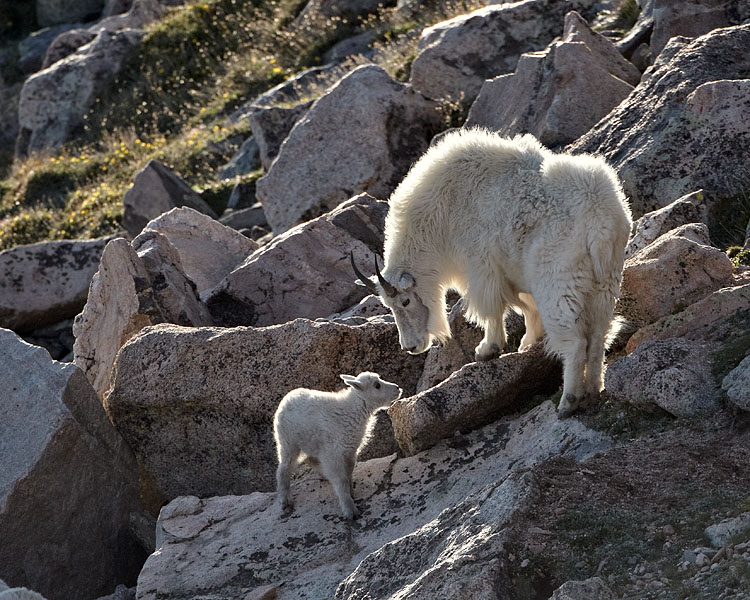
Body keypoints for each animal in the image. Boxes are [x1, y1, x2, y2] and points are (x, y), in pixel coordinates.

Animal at [354, 127, 636, 418]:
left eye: (405, 301)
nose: (410, 347)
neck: (443, 211)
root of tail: (599, 222)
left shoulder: (481, 265)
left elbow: (491, 308)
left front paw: (487, 349)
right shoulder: (513, 272)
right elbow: (526, 307)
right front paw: (527, 343)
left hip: (558, 282)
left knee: (575, 341)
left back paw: (568, 401)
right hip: (605, 282)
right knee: (599, 335)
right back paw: (592, 391)